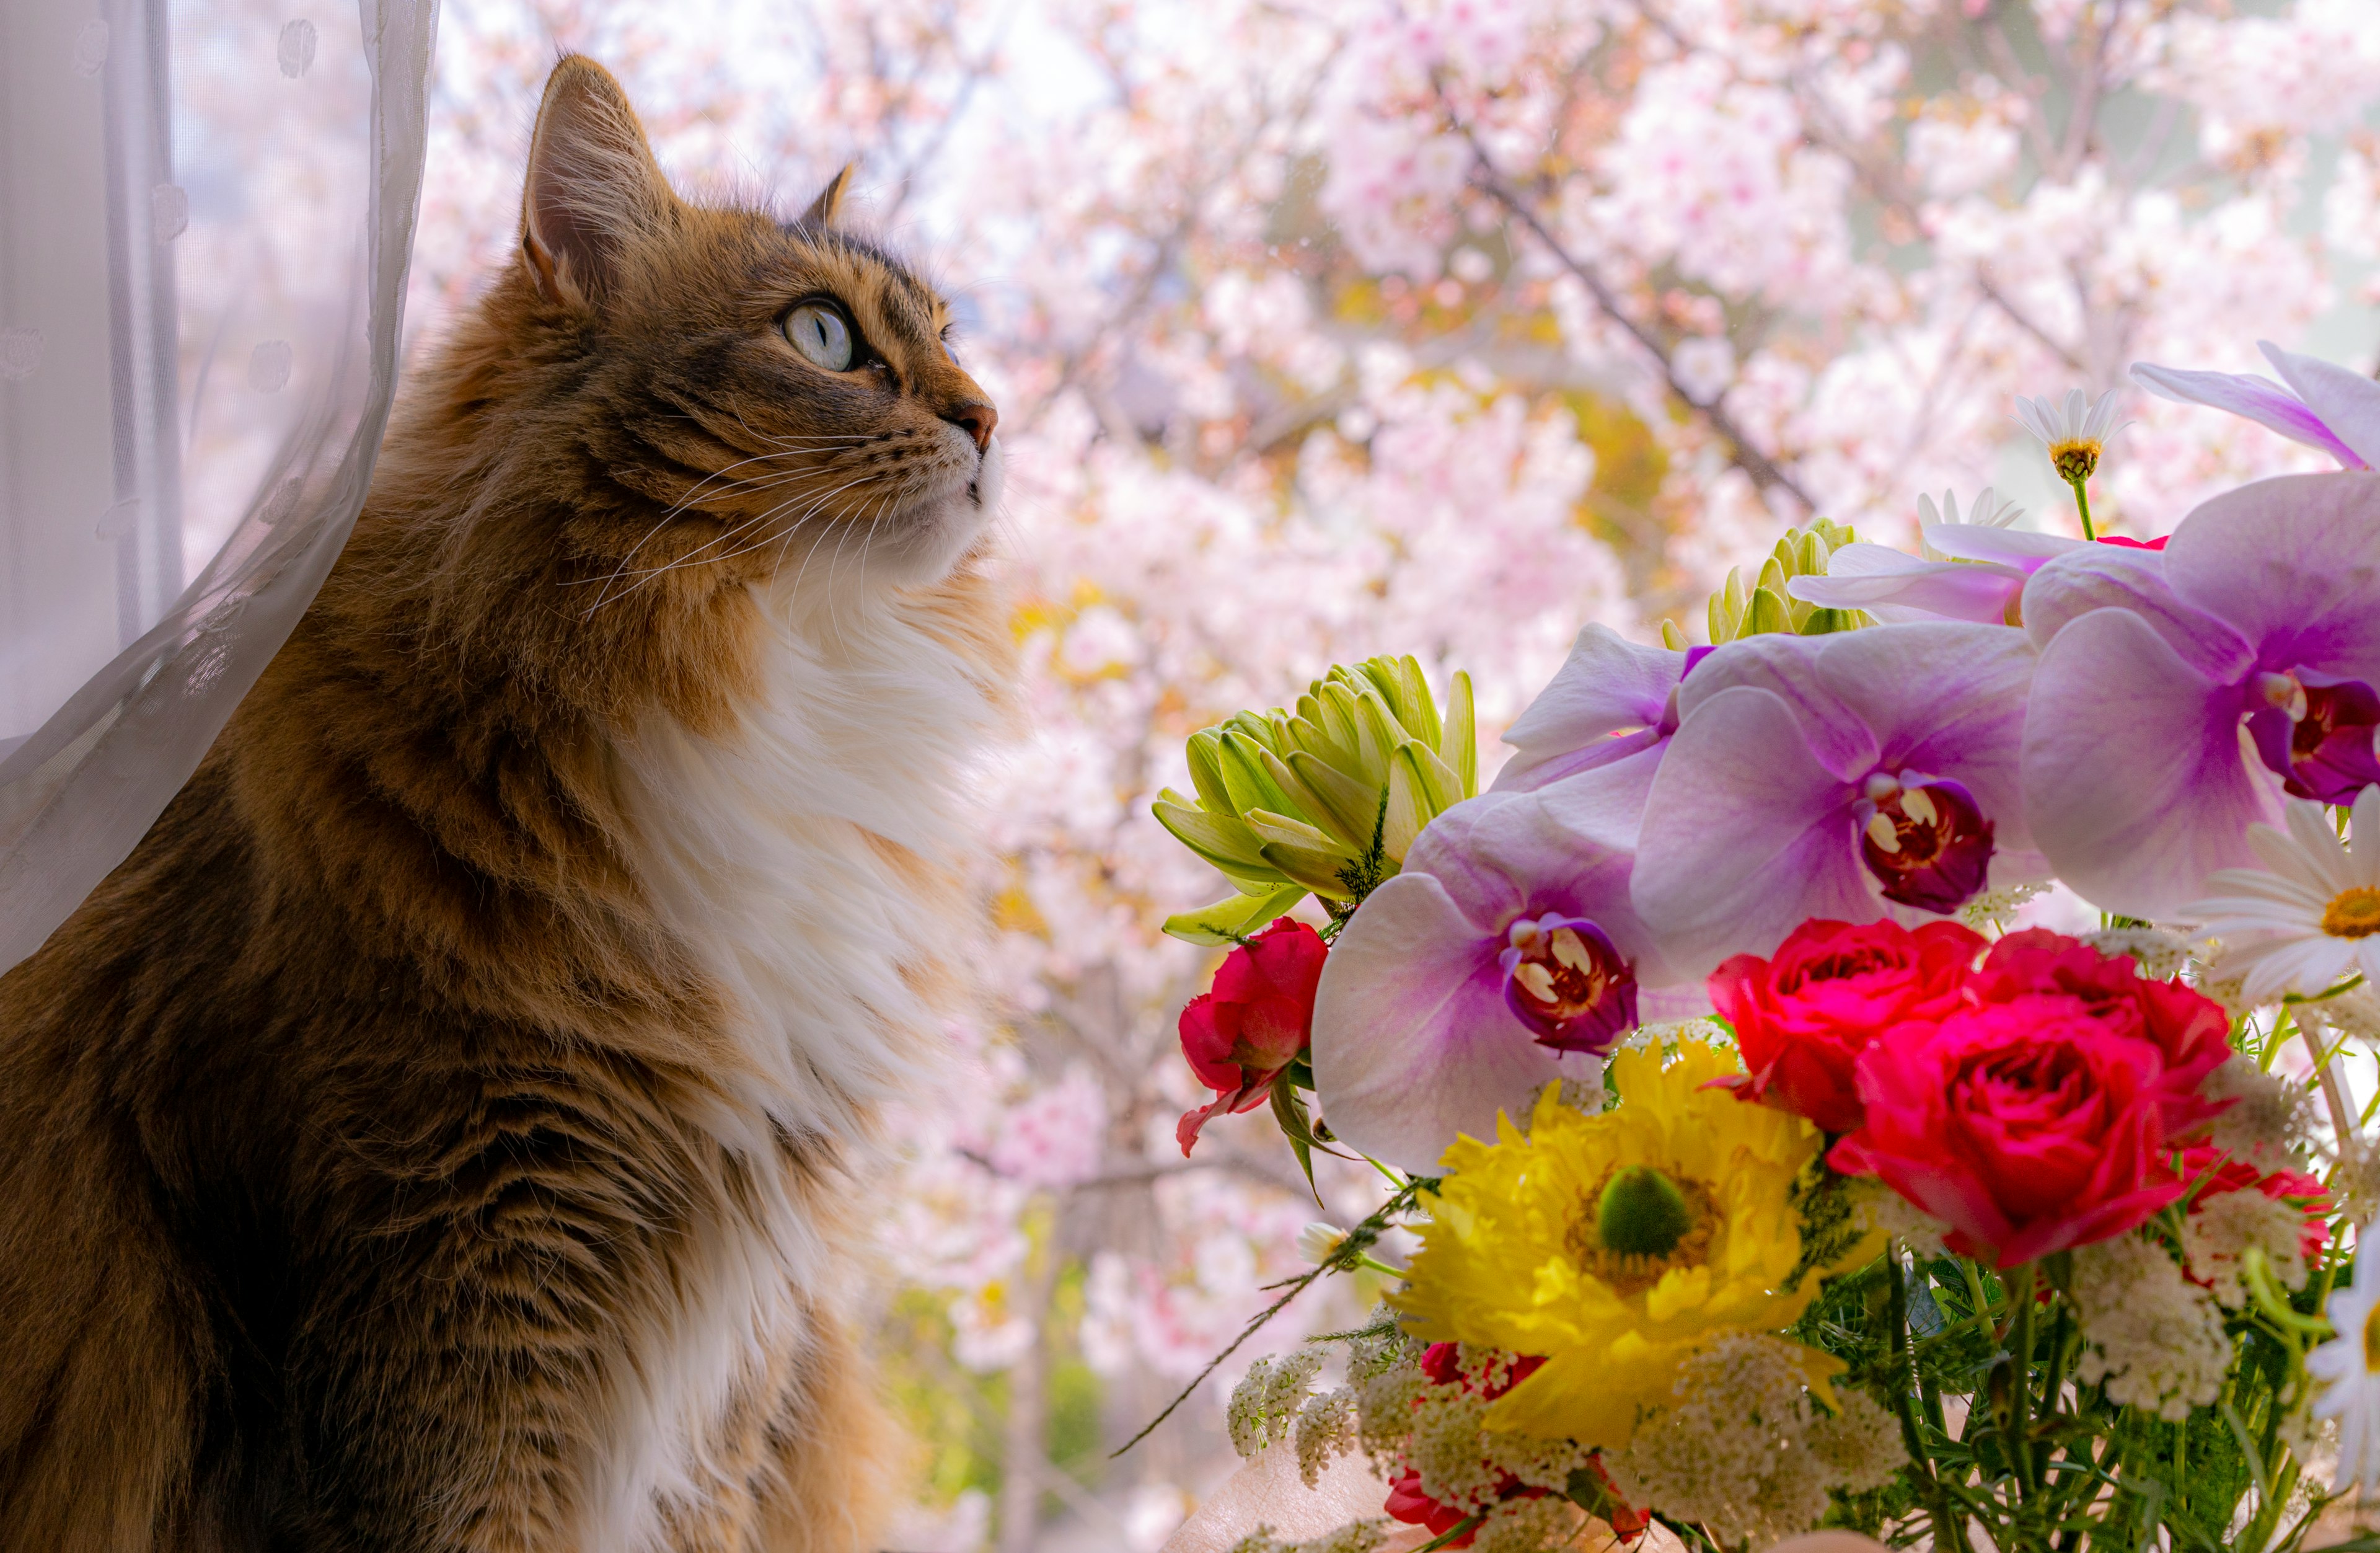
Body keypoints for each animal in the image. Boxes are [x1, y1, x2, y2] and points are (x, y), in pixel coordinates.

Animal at [0, 54, 1009, 1543]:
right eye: (824, 338)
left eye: (950, 334)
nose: (992, 417)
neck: (767, 688)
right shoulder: (450, 1313)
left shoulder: (731, 1363)